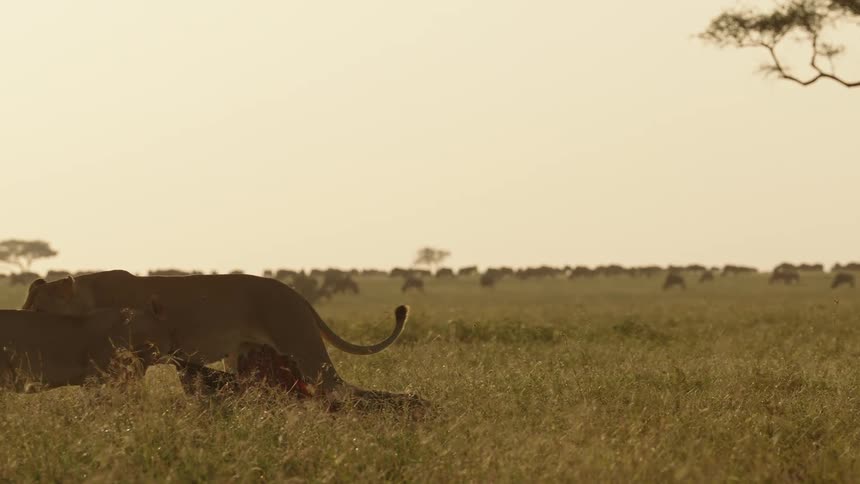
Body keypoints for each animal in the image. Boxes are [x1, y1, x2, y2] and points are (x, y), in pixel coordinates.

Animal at [22, 271, 417, 405]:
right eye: (27, 305)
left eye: (39, 309)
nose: (20, 319)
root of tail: (295, 293)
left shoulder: (132, 361)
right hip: (245, 357)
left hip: (303, 346)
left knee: (342, 390)